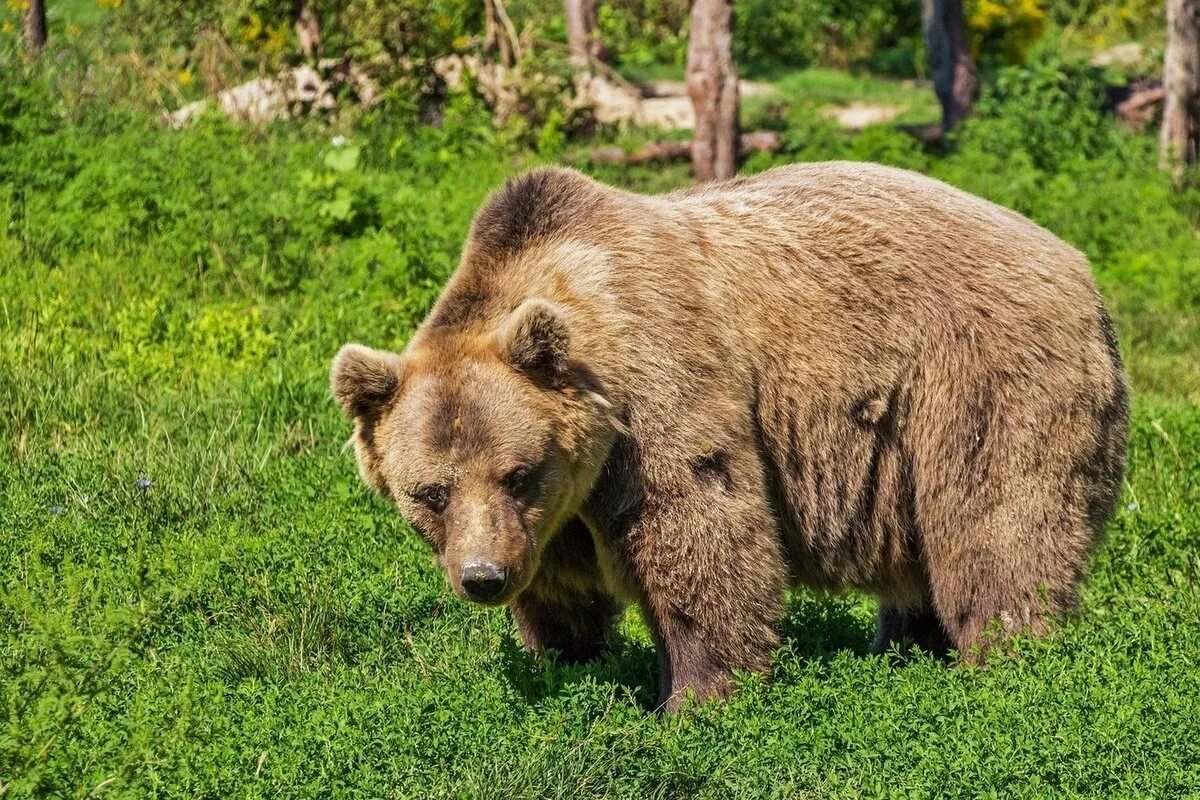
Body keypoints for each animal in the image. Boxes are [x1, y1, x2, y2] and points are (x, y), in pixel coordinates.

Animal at [328, 163, 1123, 714]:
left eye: (517, 472)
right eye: (429, 492)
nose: (483, 577)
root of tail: (1080, 267)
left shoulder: (657, 391)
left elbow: (700, 530)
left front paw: (693, 698)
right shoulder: (556, 512)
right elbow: (560, 586)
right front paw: (568, 660)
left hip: (978, 376)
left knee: (998, 521)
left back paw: (1006, 659)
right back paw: (902, 648)